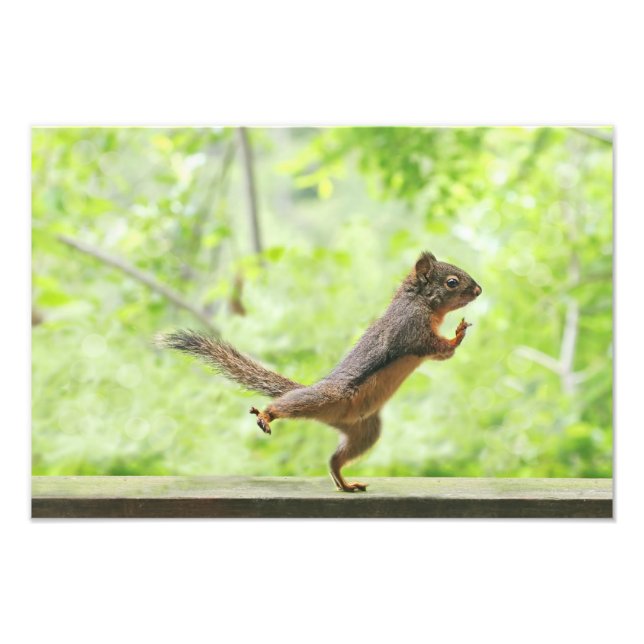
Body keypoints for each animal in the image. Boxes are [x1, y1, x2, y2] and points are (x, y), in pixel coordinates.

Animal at [160, 251, 481, 492]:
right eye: (452, 282)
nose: (479, 290)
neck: (419, 301)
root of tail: (333, 415)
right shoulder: (413, 330)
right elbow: (440, 348)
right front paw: (458, 334)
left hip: (364, 431)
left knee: (334, 461)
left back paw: (345, 483)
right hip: (323, 398)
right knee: (285, 405)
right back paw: (267, 415)